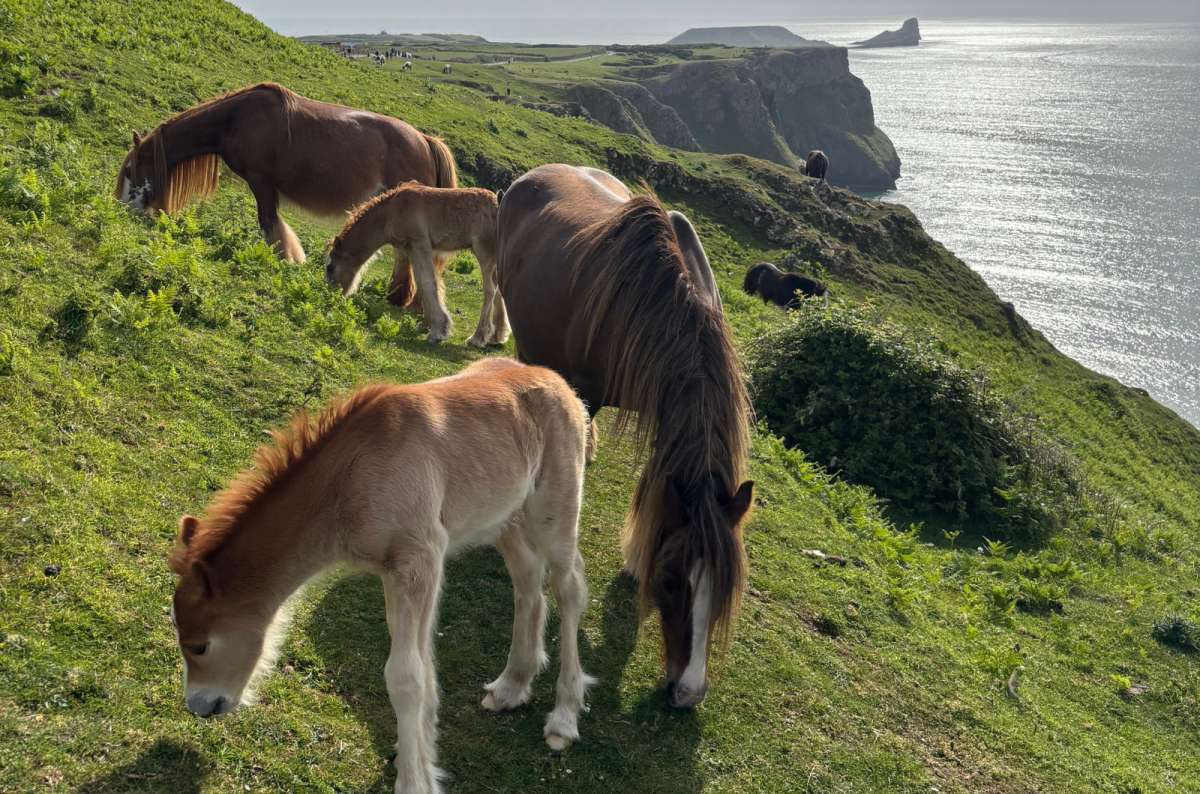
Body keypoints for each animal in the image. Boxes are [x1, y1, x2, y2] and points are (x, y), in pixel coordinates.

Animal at [114, 82, 457, 309]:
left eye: (130, 169)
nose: (124, 209)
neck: (236, 118)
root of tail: (424, 141)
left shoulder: (261, 180)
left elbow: (269, 222)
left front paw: (284, 259)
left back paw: (398, 297)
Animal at [168, 358, 593, 794]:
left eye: (199, 646)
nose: (200, 706)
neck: (350, 479)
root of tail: (558, 382)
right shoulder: (394, 572)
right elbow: (424, 670)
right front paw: (418, 759)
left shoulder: (420, 562)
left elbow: (406, 676)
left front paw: (414, 781)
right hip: (504, 518)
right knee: (528, 583)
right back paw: (511, 686)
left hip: (555, 511)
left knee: (568, 589)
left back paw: (564, 716)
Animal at [326, 183, 508, 347]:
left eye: (330, 267)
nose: (331, 295)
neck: (390, 212)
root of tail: (499, 204)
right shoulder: (410, 248)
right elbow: (421, 282)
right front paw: (426, 325)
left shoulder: (420, 243)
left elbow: (428, 282)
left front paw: (438, 331)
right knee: (499, 288)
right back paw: (496, 336)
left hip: (484, 252)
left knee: (490, 289)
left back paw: (477, 338)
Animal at [496, 164, 753, 710]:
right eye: (672, 581)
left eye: (725, 588)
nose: (689, 692)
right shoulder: (586, 392)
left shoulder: (665, 413)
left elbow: (656, 485)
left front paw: (636, 553)